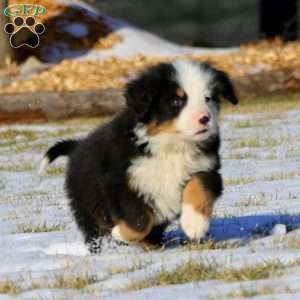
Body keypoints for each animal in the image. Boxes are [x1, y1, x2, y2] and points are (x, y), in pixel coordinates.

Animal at [39, 59, 237, 252]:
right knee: (95, 234)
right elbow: (139, 220)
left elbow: (199, 186)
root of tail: (78, 146)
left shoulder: (207, 167)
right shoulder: (121, 182)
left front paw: (195, 224)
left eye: (208, 98)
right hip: (87, 207)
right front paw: (119, 233)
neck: (171, 145)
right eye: (176, 101)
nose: (205, 118)